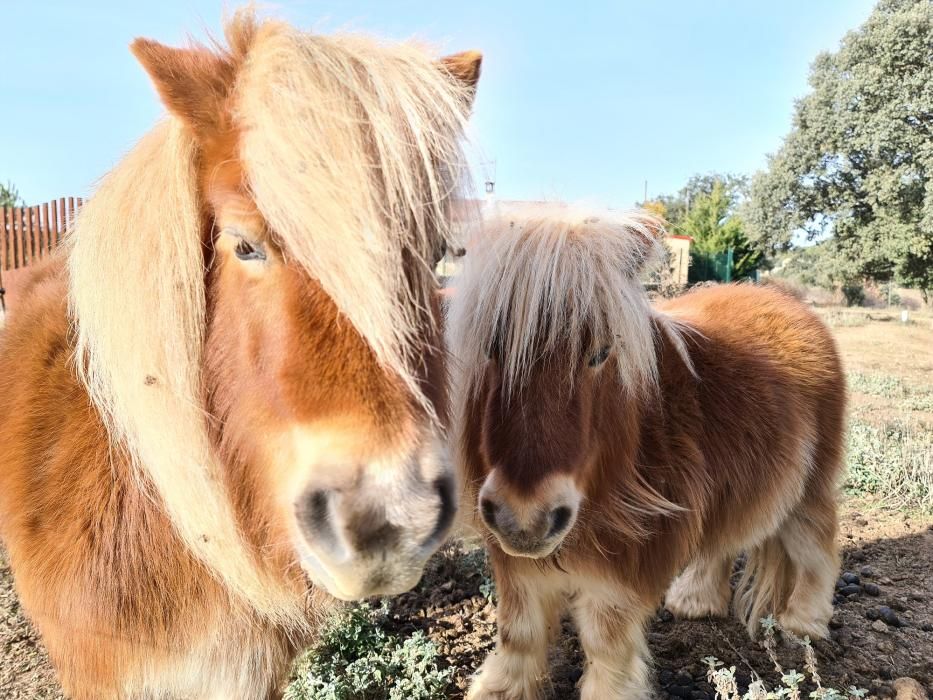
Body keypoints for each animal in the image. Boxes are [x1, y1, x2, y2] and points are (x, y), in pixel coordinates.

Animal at [448, 206, 848, 700]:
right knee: (721, 540)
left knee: (816, 547)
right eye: (490, 347)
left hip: (810, 487)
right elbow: (518, 633)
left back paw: (804, 623)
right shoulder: (515, 565)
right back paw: (694, 600)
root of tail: (788, 301)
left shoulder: (624, 570)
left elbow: (606, 643)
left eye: (601, 352)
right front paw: (499, 689)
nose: (525, 519)